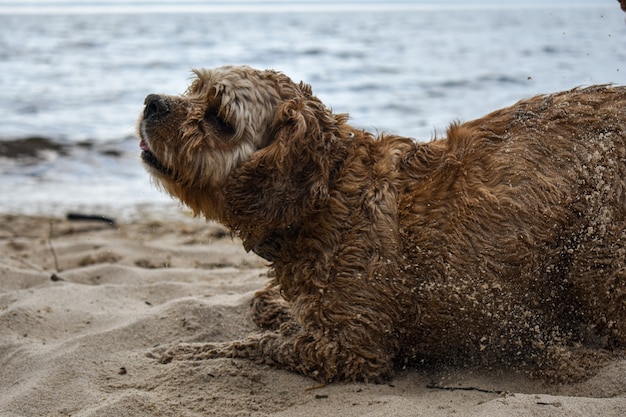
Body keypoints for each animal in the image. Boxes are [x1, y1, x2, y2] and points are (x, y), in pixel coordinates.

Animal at [138, 66, 624, 384]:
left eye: (219, 117)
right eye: (194, 88)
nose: (150, 101)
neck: (327, 190)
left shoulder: (351, 349)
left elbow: (257, 345)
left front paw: (182, 351)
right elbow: (272, 310)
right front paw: (273, 306)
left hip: (596, 248)